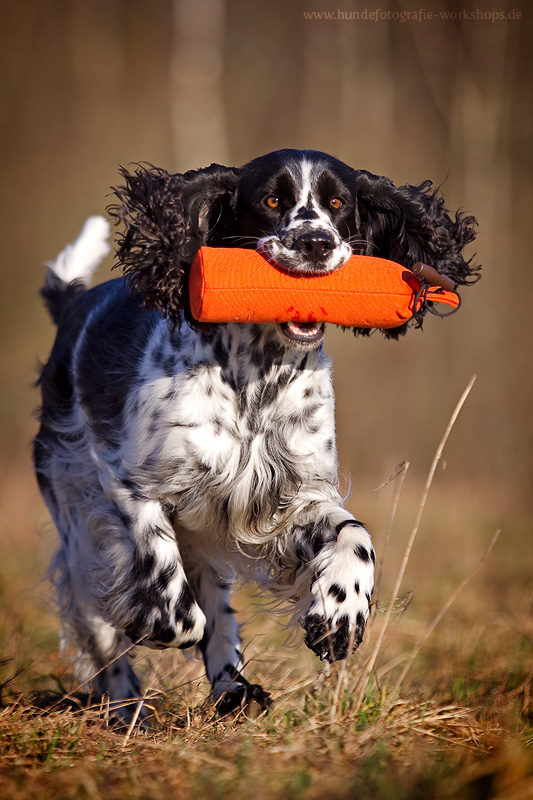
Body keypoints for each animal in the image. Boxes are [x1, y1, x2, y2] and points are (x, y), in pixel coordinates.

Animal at [34, 148, 478, 720]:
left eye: (339, 204)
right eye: (271, 201)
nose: (316, 242)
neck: (258, 379)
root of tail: (73, 308)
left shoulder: (291, 494)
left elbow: (354, 536)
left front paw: (339, 615)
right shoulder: (133, 487)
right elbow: (164, 586)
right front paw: (154, 623)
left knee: (217, 613)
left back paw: (234, 691)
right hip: (76, 508)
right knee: (101, 616)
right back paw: (129, 709)